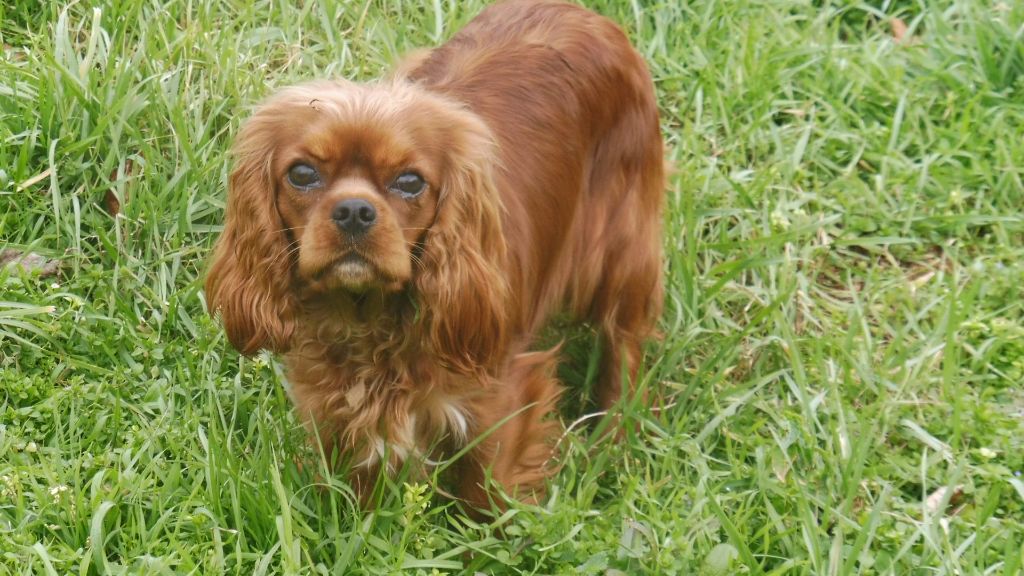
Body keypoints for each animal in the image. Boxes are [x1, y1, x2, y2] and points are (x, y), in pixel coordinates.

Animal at [207, 0, 663, 506]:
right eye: (302, 174)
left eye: (410, 182)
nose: (353, 211)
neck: (368, 319)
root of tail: (588, 15)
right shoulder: (334, 399)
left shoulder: (500, 394)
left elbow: (484, 491)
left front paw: (490, 530)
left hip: (621, 252)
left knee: (623, 343)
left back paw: (614, 440)